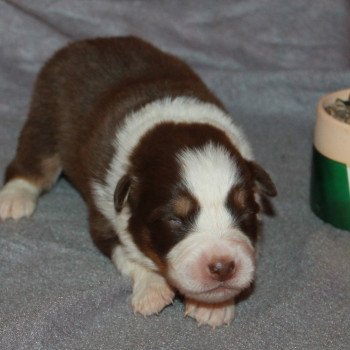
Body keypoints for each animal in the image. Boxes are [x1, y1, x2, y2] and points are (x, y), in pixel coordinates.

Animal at [0, 36, 276, 328]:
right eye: (174, 219)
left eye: (245, 212)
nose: (222, 267)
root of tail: (85, 43)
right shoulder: (104, 219)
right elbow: (130, 254)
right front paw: (153, 291)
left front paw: (214, 306)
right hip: (46, 116)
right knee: (34, 160)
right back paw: (14, 198)